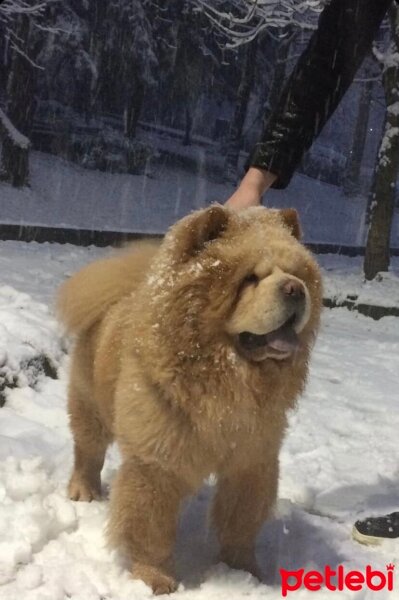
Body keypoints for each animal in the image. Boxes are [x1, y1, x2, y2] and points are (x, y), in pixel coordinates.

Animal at [58, 206, 322, 596]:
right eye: (250, 278)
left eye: (296, 273)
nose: (294, 288)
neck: (227, 381)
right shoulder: (156, 462)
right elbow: (149, 528)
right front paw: (155, 578)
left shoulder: (252, 459)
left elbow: (241, 522)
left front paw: (244, 570)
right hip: (90, 406)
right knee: (88, 451)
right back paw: (84, 491)